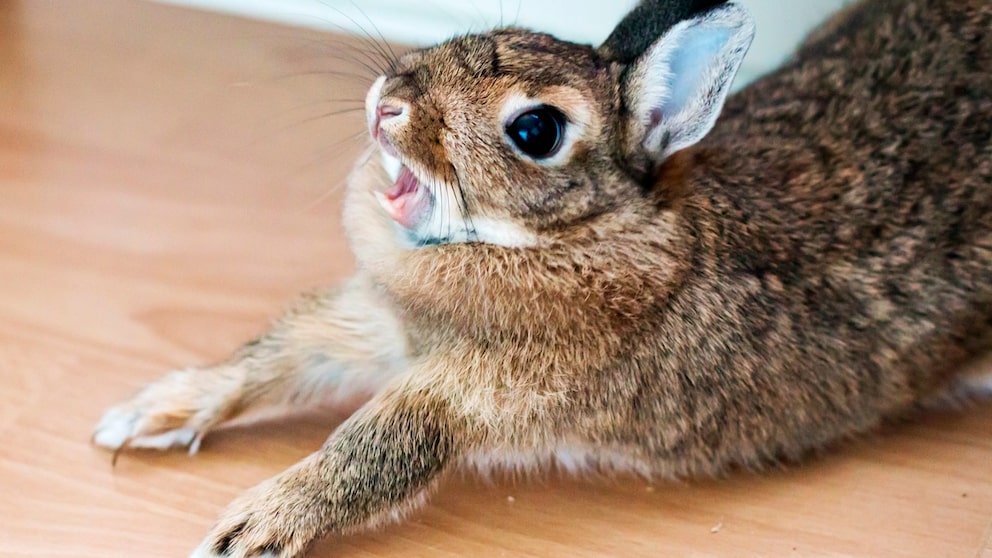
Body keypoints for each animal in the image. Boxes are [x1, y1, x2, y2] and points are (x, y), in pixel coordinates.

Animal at [93, 0, 992, 556]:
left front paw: (246, 528)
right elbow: (275, 356)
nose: (386, 103)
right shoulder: (374, 326)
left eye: (535, 131)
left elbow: (371, 451)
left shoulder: (471, 393)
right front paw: (146, 414)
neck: (567, 232)